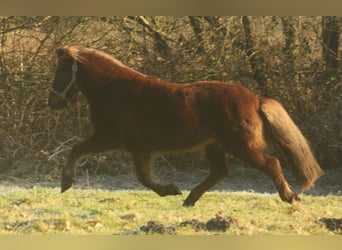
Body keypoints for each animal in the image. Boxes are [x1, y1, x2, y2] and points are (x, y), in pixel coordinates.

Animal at [48, 45, 324, 207]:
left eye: (61, 71)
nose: (52, 102)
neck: (117, 92)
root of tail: (255, 100)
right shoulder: (140, 149)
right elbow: (144, 178)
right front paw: (170, 190)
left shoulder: (110, 138)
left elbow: (76, 149)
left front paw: (66, 183)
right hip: (215, 145)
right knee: (219, 172)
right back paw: (189, 200)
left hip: (239, 145)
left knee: (271, 163)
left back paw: (290, 197)